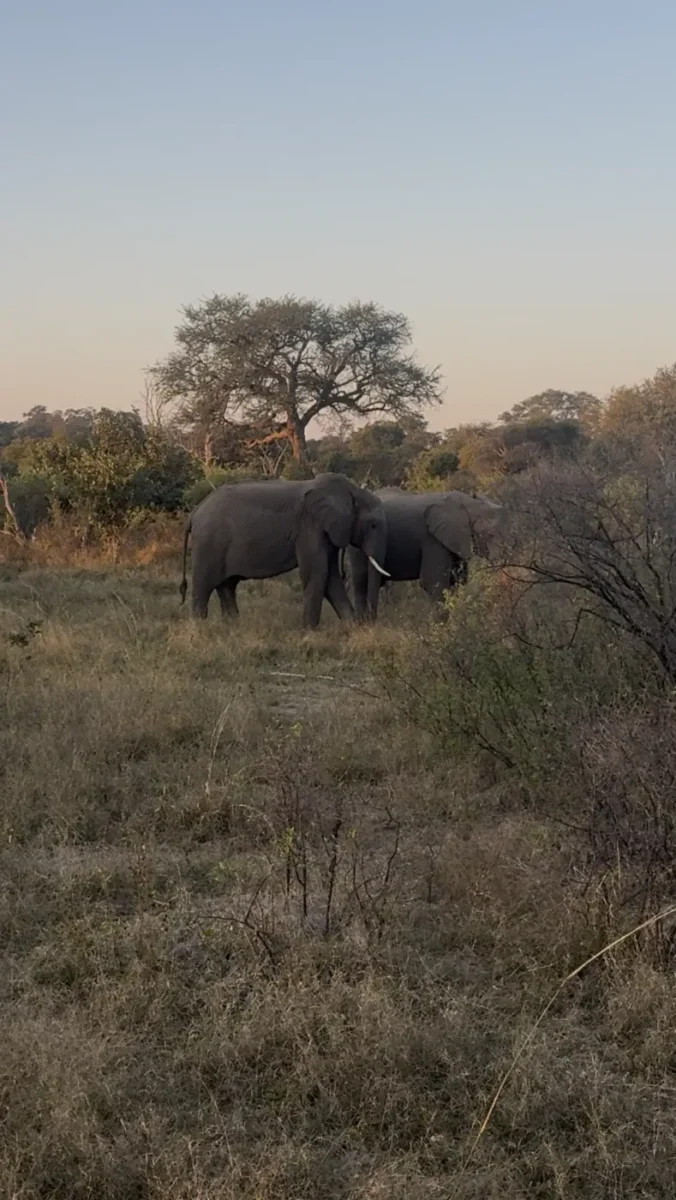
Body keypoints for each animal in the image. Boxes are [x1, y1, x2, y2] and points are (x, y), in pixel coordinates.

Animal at [180, 472, 389, 628]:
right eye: (373, 525)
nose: (368, 622)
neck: (350, 491)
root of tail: (194, 513)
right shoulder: (310, 526)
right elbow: (317, 573)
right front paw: (309, 632)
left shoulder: (326, 531)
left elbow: (331, 578)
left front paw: (352, 629)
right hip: (208, 543)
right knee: (203, 587)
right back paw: (200, 630)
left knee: (226, 586)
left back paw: (232, 627)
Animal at [344, 487, 506, 620]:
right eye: (488, 535)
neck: (467, 502)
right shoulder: (432, 540)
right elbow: (433, 582)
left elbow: (458, 580)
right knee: (361, 582)